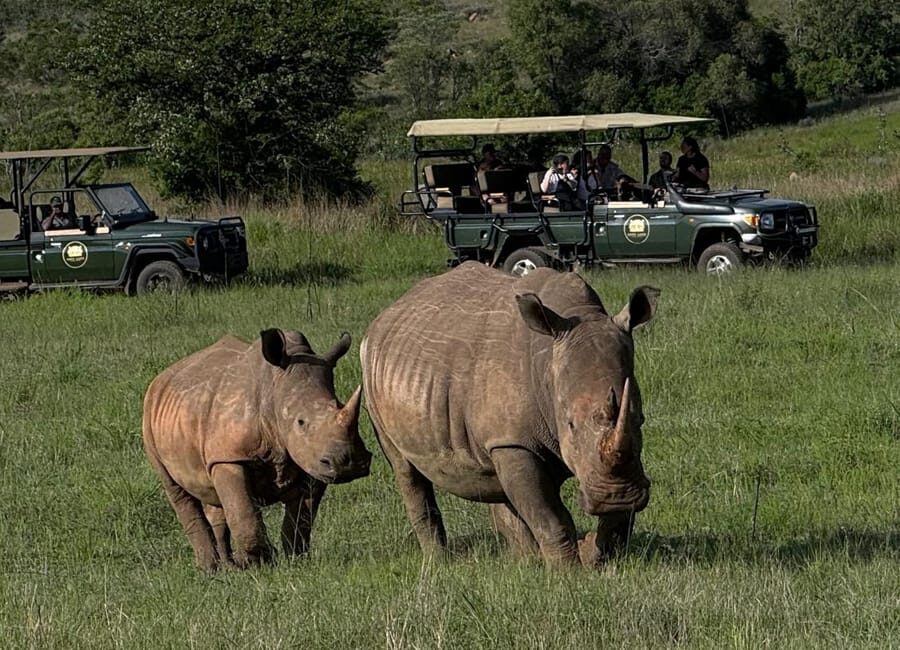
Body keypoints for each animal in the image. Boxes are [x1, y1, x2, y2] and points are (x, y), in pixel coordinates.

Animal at [143, 329, 371, 571]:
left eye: (340, 405)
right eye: (300, 422)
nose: (348, 463)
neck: (273, 391)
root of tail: (161, 378)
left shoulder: (312, 460)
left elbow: (301, 518)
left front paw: (295, 558)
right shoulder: (229, 456)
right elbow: (244, 513)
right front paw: (259, 562)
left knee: (214, 499)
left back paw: (228, 567)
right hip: (149, 419)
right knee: (177, 491)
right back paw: (210, 569)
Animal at [361, 262, 658, 567]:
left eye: (640, 419)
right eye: (570, 424)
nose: (618, 495)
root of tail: (386, 315)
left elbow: (613, 514)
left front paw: (595, 552)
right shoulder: (513, 441)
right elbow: (550, 517)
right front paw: (566, 570)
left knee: (493, 478)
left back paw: (524, 560)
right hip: (371, 374)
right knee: (405, 470)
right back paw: (439, 562)